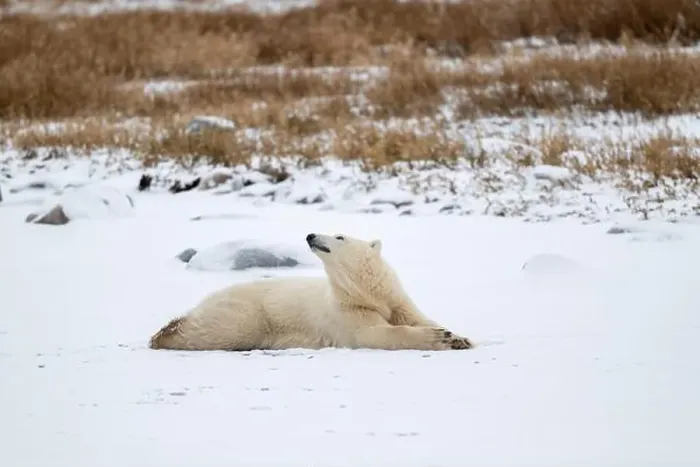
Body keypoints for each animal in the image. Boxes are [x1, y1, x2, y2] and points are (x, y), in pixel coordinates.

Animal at [149, 233, 473, 351]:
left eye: (340, 236)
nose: (311, 235)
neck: (369, 294)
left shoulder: (400, 303)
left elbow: (419, 318)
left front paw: (459, 337)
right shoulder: (346, 314)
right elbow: (373, 334)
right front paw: (439, 338)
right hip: (248, 313)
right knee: (218, 330)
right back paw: (165, 334)